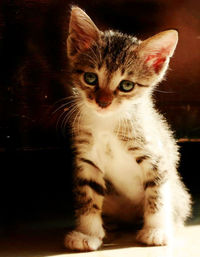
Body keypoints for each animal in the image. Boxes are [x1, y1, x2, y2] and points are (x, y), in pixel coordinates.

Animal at [64, 6, 191, 250]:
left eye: (126, 85)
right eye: (90, 78)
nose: (103, 102)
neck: (108, 123)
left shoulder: (156, 158)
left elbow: (157, 196)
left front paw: (156, 231)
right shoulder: (86, 159)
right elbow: (88, 198)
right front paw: (88, 233)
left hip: (179, 194)